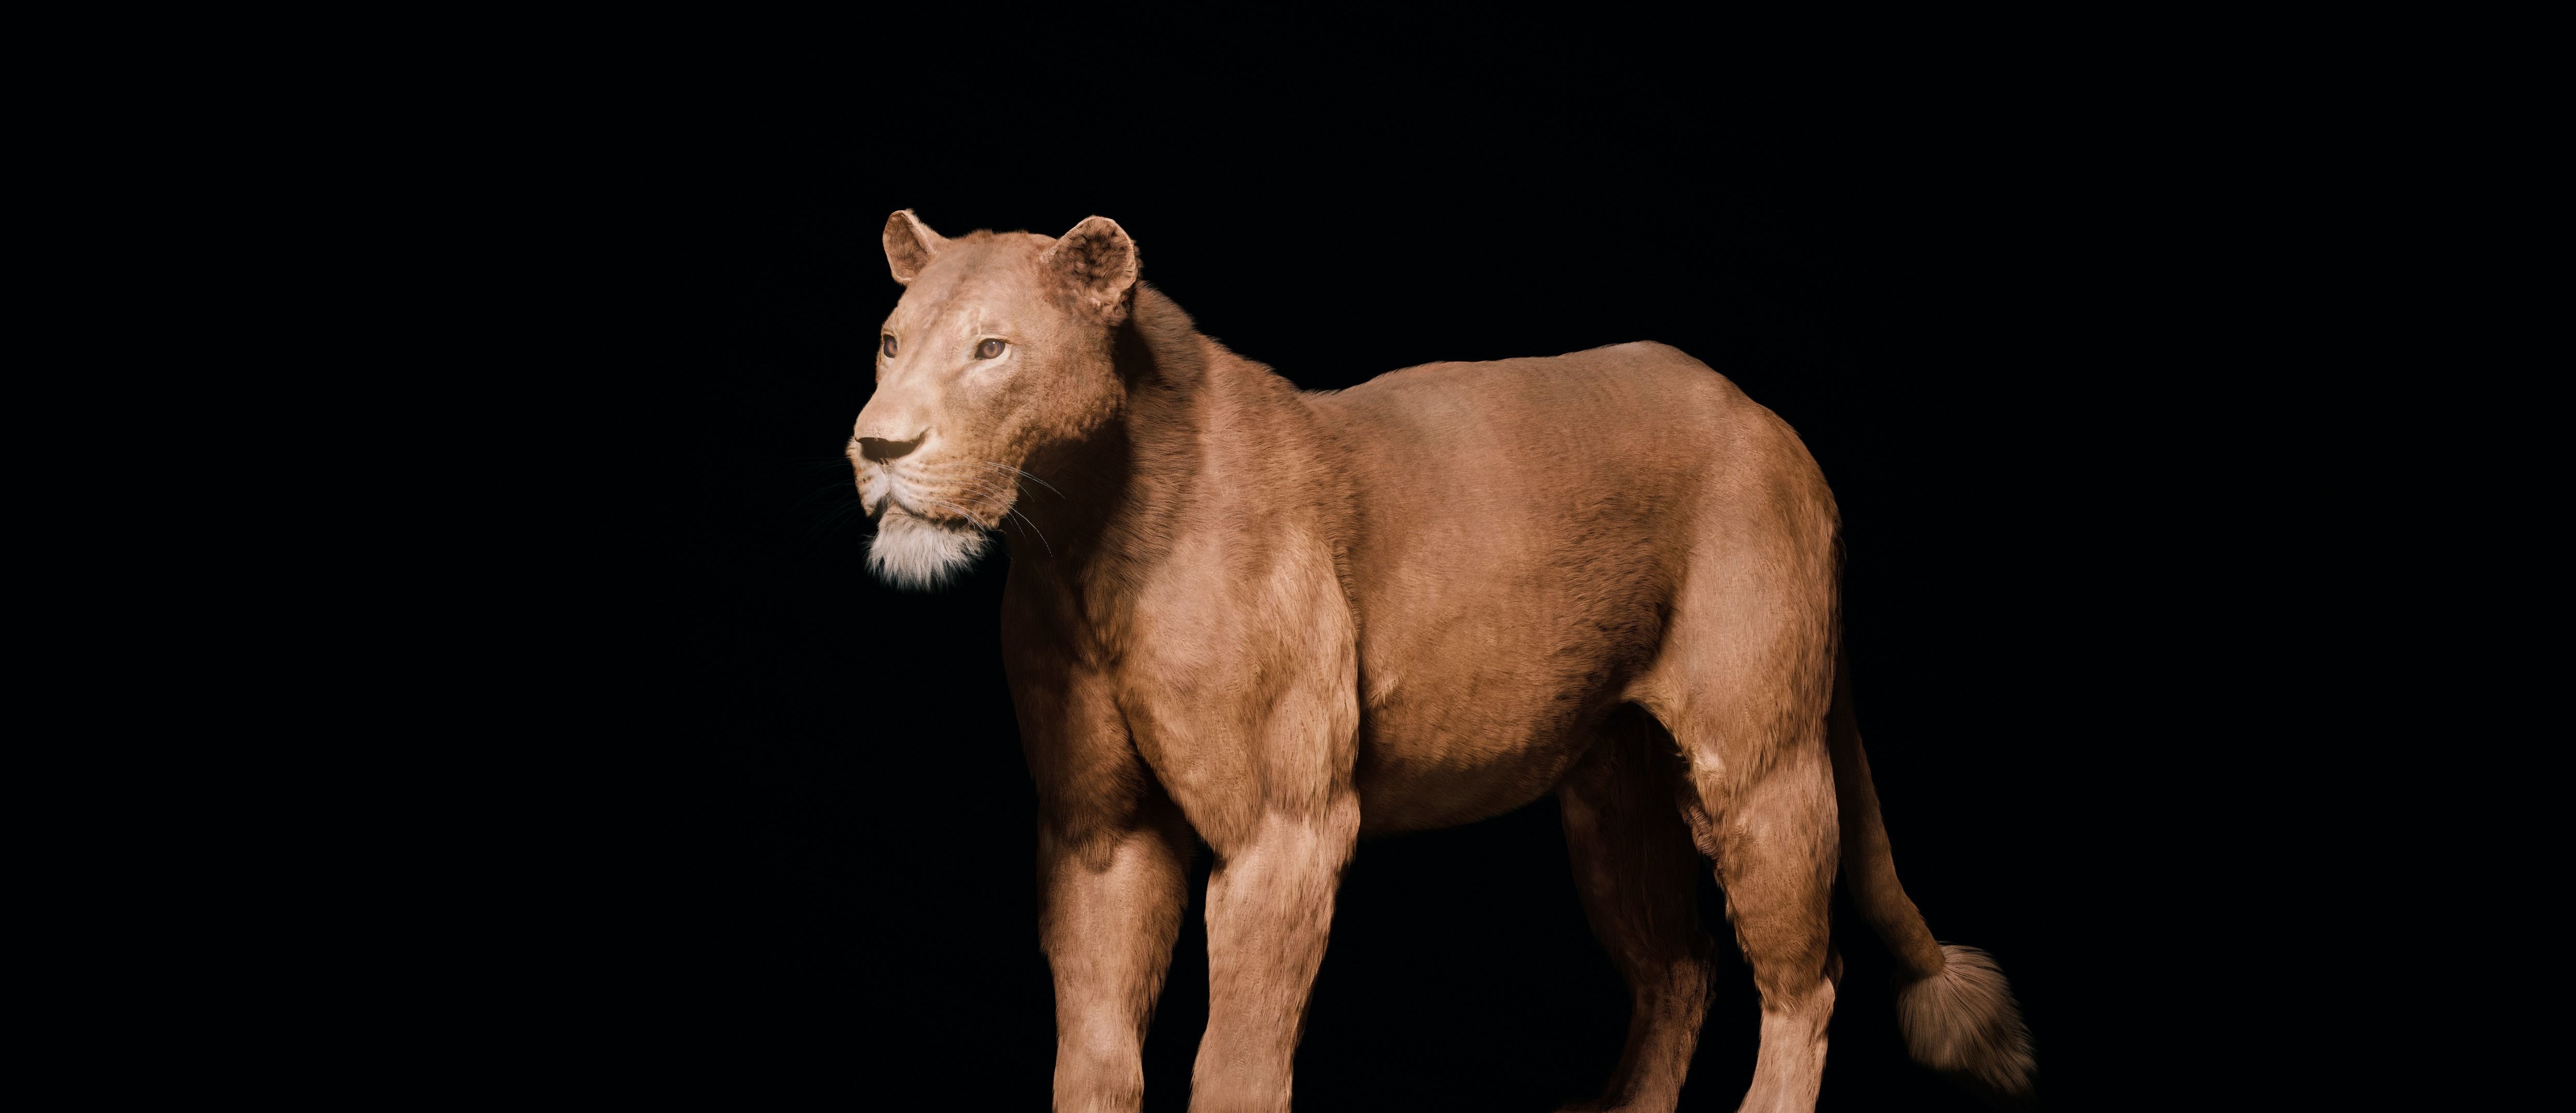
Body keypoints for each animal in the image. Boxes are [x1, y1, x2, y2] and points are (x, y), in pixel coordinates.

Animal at [847, 211, 2035, 1112]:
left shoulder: (1286, 828)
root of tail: (1767, 419)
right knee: (1682, 969)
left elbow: (1235, 1060)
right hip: (1611, 795)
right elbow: (1096, 1049)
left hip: (1756, 766)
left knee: (1806, 981)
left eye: (992, 350)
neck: (1078, 541)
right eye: (893, 344)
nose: (878, 445)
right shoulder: (1101, 831)